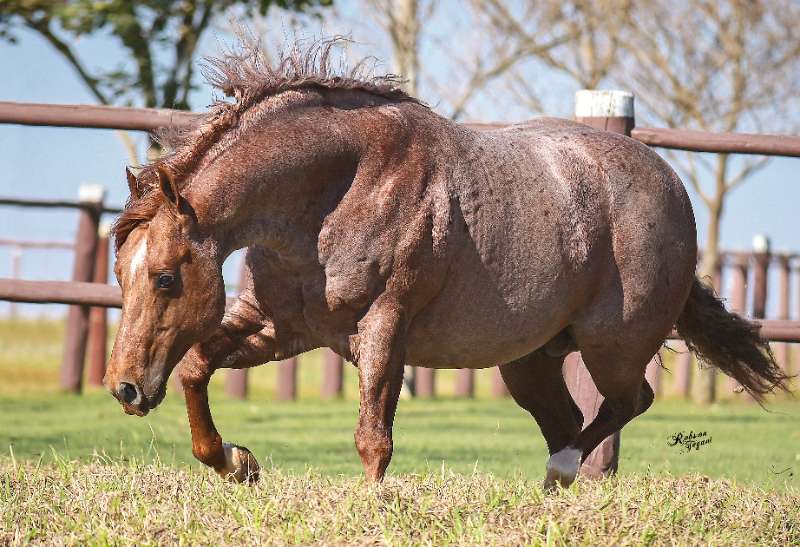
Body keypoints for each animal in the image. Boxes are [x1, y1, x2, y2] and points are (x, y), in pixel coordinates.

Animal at [104, 38, 788, 489]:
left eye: (165, 277)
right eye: (121, 275)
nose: (125, 389)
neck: (343, 186)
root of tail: (670, 185)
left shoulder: (384, 327)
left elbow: (372, 438)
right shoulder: (283, 328)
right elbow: (197, 366)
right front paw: (237, 462)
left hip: (613, 345)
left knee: (625, 403)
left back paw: (564, 470)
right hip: (529, 361)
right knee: (569, 418)